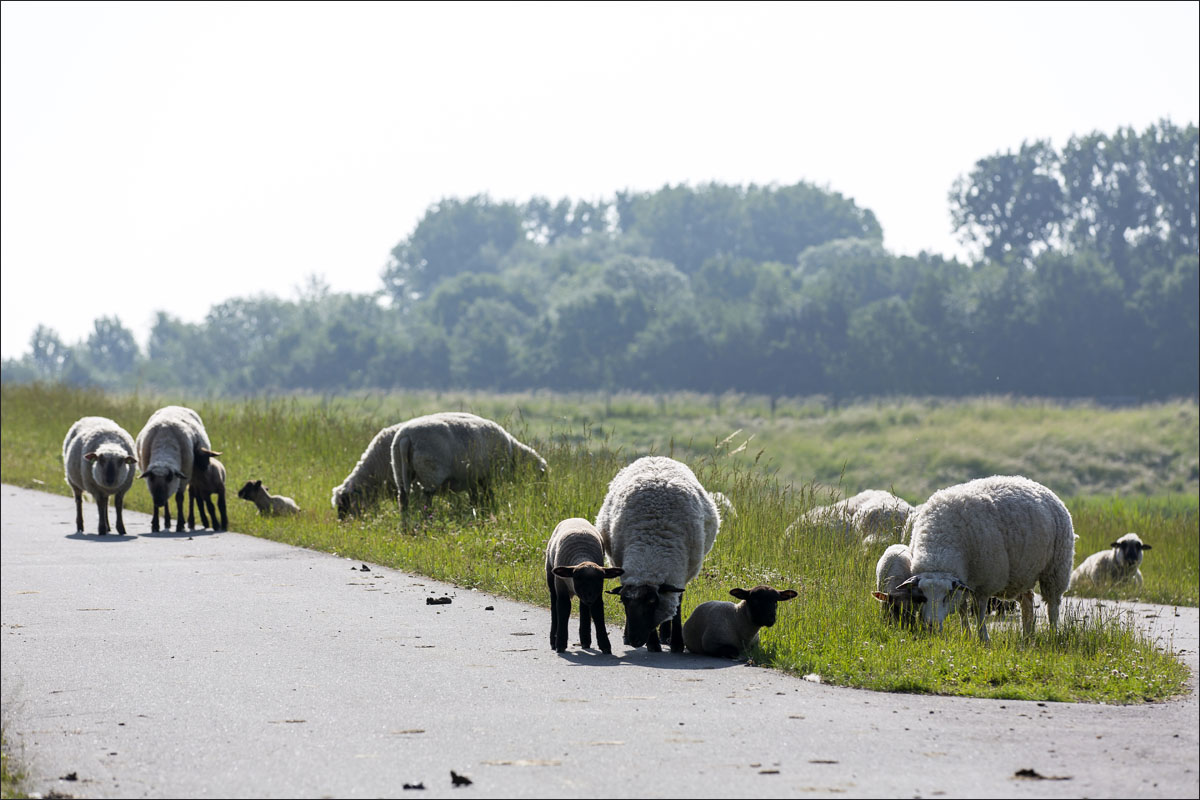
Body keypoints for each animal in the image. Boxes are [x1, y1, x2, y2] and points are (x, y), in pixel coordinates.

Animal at [388, 412, 549, 513]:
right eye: (541, 476)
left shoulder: (473, 479)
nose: (543, 497)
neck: (513, 455)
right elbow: (488, 496)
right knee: (426, 499)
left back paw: (406, 527)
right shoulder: (488, 477)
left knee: (403, 499)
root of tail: (406, 437)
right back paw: (426, 520)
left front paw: (478, 509)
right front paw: (488, 509)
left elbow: (475, 498)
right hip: (431, 471)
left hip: (399, 470)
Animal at [542, 520, 619, 657]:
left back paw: (585, 641)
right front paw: (560, 644)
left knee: (583, 608)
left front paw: (605, 646)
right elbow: (563, 610)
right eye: (577, 578)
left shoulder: (597, 594)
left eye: (601, 579)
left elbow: (598, 613)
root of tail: (574, 518)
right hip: (551, 578)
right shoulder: (561, 587)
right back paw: (553, 640)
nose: (589, 597)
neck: (582, 554)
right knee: (554, 607)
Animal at [592, 453, 715, 652]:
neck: (651, 549)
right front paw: (652, 644)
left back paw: (665, 635)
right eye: (623, 602)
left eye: (651, 602)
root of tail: (655, 456)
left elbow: (677, 605)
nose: (634, 640)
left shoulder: (680, 574)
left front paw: (677, 643)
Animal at [888, 474, 1075, 642]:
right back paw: (1027, 636)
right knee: (1028, 601)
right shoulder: (964, 582)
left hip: (1056, 569)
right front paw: (966, 635)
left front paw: (983, 638)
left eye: (945, 596)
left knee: (1052, 605)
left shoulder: (984, 583)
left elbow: (978, 611)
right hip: (1022, 572)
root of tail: (1036, 484)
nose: (931, 626)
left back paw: (1052, 634)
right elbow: (963, 609)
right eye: (922, 597)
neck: (939, 549)